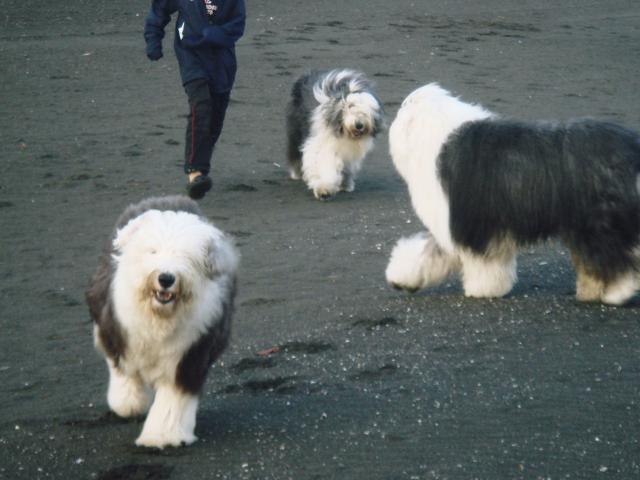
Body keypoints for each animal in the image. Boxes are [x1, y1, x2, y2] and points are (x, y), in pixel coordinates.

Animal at [86, 196, 239, 448]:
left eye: (187, 256)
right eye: (153, 251)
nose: (166, 278)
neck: (159, 317)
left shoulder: (190, 354)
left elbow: (172, 399)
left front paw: (161, 436)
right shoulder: (117, 331)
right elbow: (123, 371)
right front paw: (129, 403)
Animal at [286, 69, 384, 199]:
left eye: (367, 110)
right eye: (350, 106)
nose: (359, 125)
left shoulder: (348, 151)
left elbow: (345, 166)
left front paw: (345, 184)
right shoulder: (321, 143)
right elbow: (324, 163)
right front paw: (324, 188)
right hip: (296, 130)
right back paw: (297, 173)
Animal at [386, 83, 640, 305]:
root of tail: (632, 147)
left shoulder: (469, 222)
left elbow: (482, 262)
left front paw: (483, 289)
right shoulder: (456, 225)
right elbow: (427, 252)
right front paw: (401, 278)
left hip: (598, 220)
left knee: (616, 257)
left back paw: (616, 293)